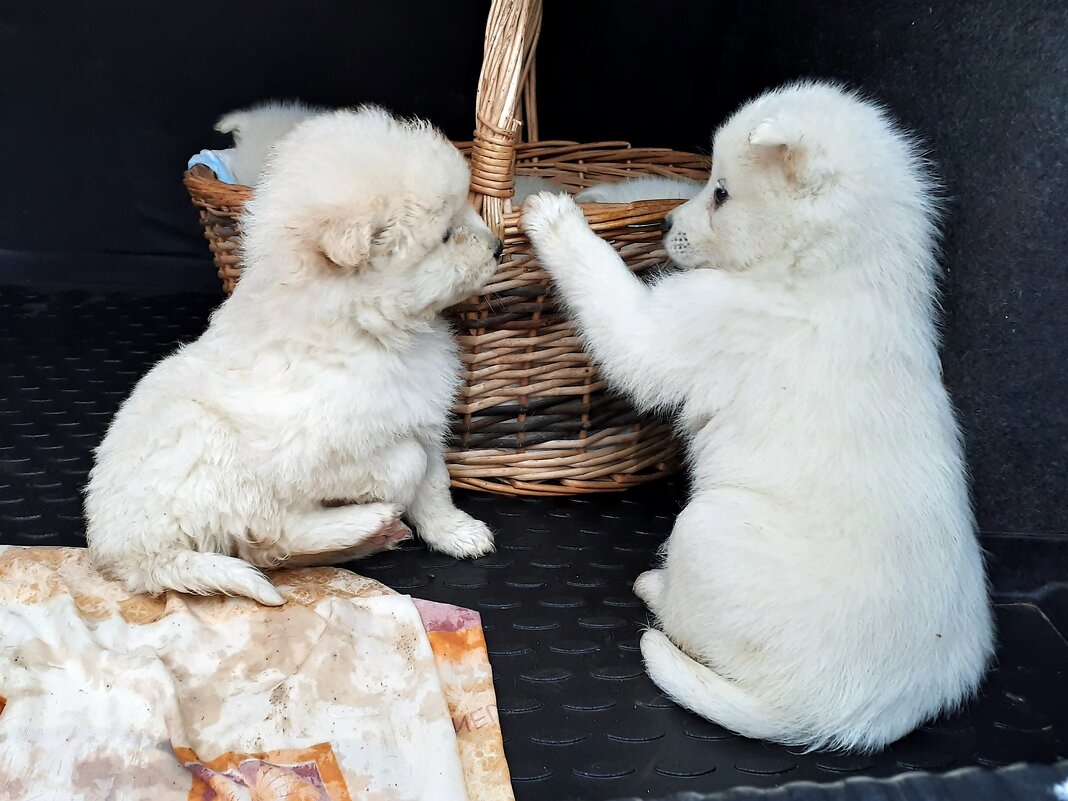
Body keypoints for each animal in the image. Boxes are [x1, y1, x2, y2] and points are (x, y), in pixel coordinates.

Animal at [85, 108, 501, 606]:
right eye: (445, 235)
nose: (498, 247)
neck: (370, 330)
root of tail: (124, 553)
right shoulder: (309, 452)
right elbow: (409, 462)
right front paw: (400, 495)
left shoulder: (419, 414)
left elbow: (435, 481)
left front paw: (456, 532)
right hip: (211, 453)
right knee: (271, 537)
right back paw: (369, 520)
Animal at [523, 81, 991, 751]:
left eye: (722, 193)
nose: (665, 224)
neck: (817, 271)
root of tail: (839, 716)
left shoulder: (676, 330)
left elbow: (612, 299)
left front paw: (557, 218)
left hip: (706, 527)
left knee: (690, 625)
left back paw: (655, 586)